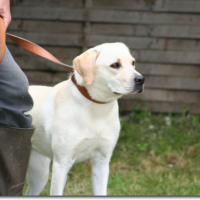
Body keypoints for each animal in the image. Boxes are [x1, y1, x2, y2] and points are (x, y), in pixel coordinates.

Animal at [25, 41, 144, 195]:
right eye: (115, 65)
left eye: (133, 63)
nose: (141, 80)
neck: (97, 108)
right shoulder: (61, 164)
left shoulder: (102, 162)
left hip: (40, 173)